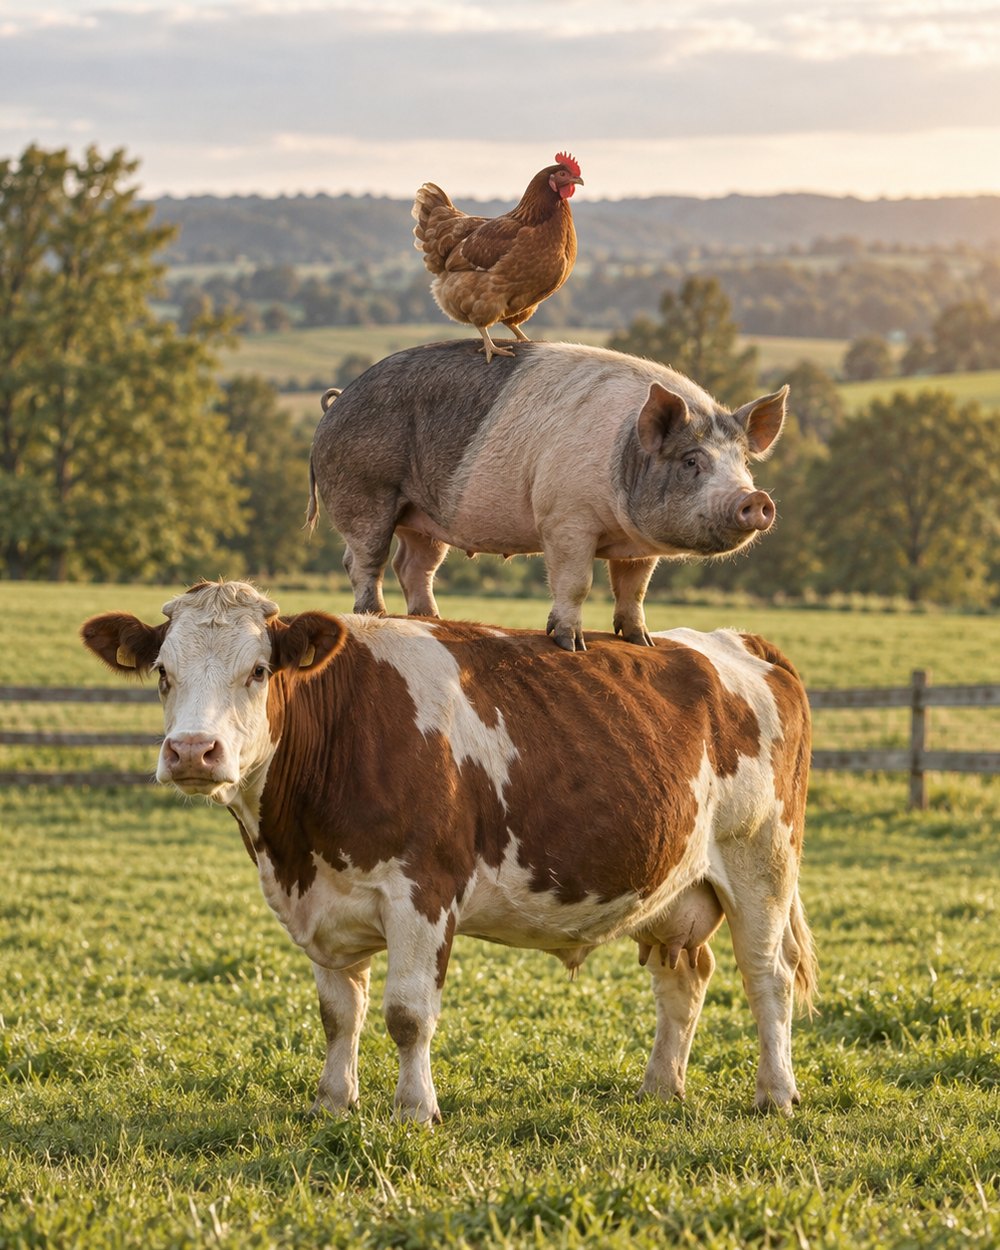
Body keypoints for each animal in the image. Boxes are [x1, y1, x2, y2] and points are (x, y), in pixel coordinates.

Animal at [81, 580, 816, 1122]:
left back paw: (775, 1094)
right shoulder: (323, 904)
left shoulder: (423, 891)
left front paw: (414, 1110)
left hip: (761, 860)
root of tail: (728, 640)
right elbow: (337, 1014)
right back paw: (661, 1088)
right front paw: (332, 1104)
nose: (191, 752)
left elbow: (408, 1014)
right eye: (162, 671)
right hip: (673, 882)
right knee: (683, 977)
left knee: (767, 976)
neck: (295, 843)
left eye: (258, 670)